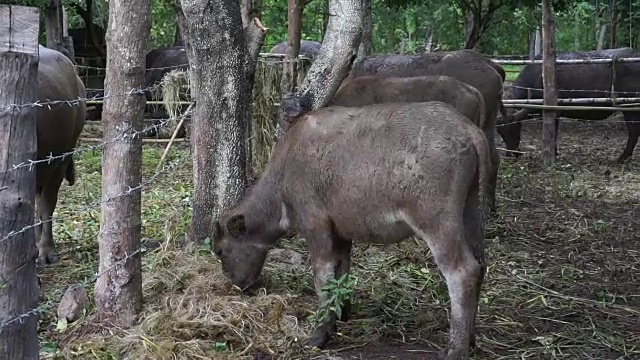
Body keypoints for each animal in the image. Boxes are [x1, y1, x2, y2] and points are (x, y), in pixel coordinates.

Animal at [214, 99, 490, 360]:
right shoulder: (342, 235)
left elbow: (323, 278)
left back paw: (455, 348)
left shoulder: (316, 227)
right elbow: (342, 272)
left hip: (437, 223)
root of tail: (469, 130)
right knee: (480, 265)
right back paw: (470, 339)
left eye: (220, 251)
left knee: (463, 271)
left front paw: (319, 335)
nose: (236, 285)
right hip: (471, 214)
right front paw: (342, 312)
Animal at [500, 46, 640, 162]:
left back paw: (622, 158)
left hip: (630, 108)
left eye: (514, 127)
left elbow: (553, 134)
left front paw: (554, 154)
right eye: (500, 132)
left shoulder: (554, 112)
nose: (511, 155)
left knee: (633, 133)